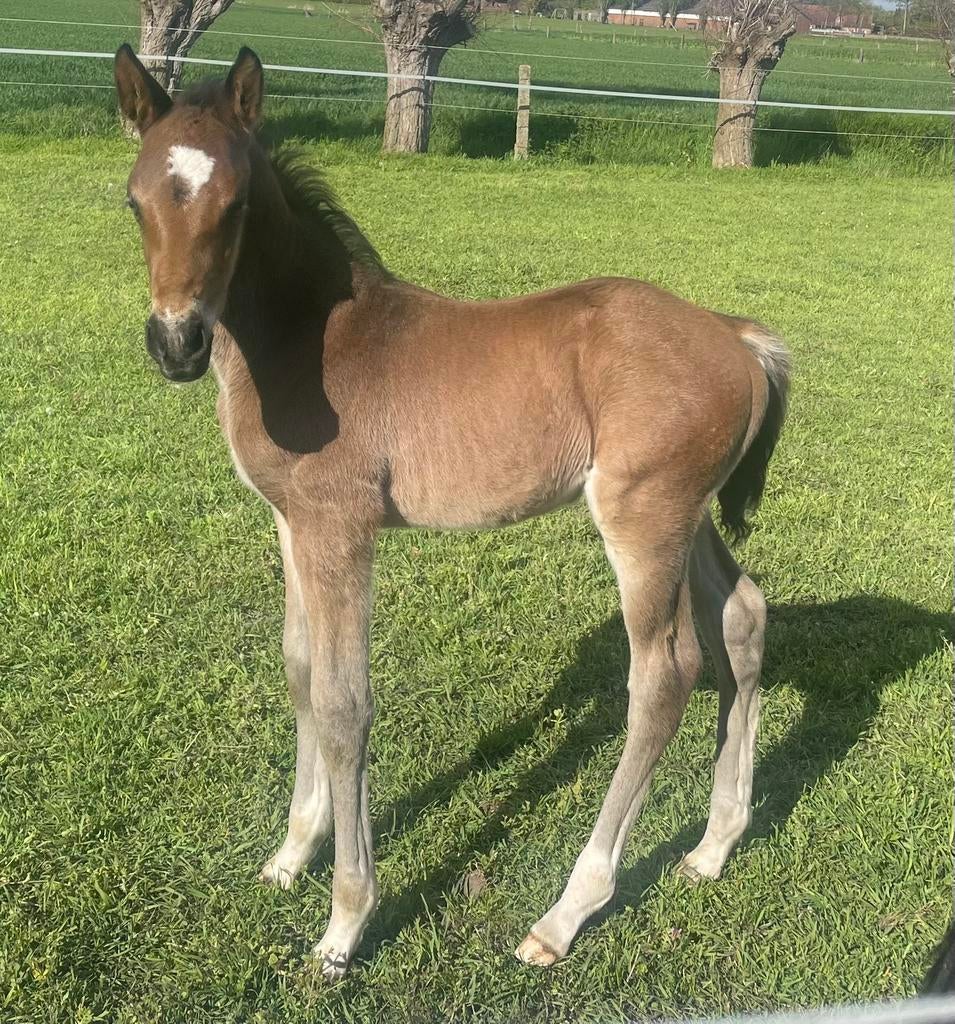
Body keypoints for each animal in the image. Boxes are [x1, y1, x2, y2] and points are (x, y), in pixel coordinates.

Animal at [114, 44, 790, 980]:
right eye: (134, 201)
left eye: (236, 203)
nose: (175, 343)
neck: (312, 341)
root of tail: (735, 336)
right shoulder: (289, 523)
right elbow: (299, 671)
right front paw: (290, 855)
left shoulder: (340, 530)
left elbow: (344, 703)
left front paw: (345, 923)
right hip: (684, 516)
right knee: (743, 617)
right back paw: (713, 847)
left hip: (643, 520)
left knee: (664, 676)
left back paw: (565, 913)